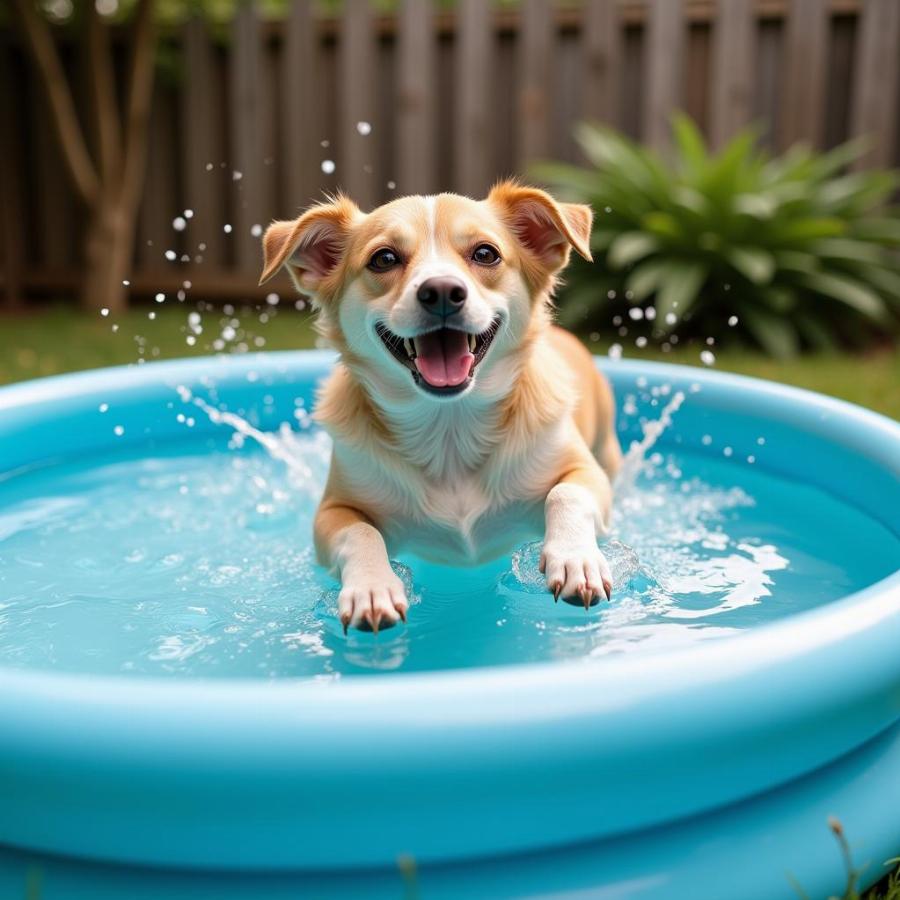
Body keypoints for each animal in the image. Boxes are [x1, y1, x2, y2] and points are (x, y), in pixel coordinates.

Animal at [260, 181, 624, 632]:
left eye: (485, 254)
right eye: (384, 259)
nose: (442, 292)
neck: (449, 428)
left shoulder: (586, 474)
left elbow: (566, 494)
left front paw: (576, 559)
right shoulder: (332, 511)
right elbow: (360, 533)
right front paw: (371, 587)